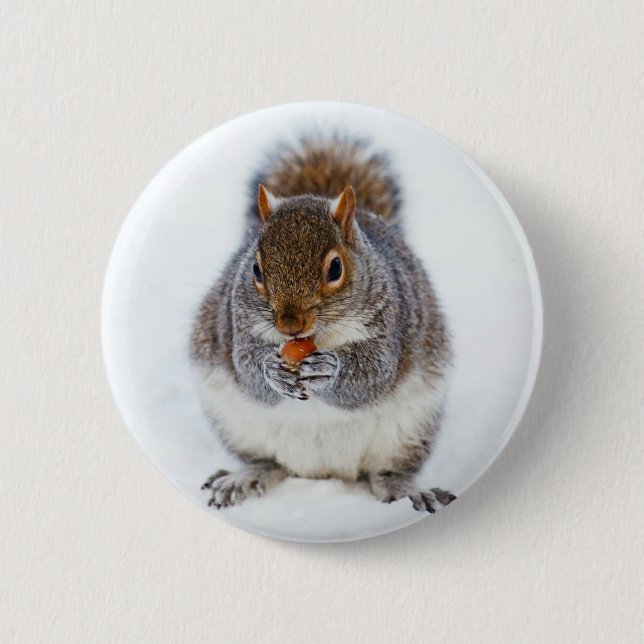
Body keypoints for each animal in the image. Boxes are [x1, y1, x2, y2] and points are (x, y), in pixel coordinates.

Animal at [190, 137, 456, 513]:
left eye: (335, 268)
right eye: (255, 269)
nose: (290, 325)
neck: (316, 338)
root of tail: (323, 471)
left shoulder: (391, 324)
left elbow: (373, 376)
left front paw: (329, 370)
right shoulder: (237, 324)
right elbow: (247, 369)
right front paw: (272, 371)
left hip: (409, 429)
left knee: (387, 472)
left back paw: (408, 491)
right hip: (235, 423)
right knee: (268, 461)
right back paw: (244, 477)